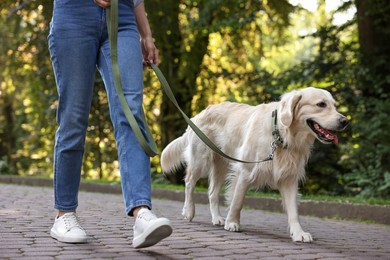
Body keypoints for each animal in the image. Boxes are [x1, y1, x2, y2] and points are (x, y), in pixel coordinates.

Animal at [160, 87, 348, 242]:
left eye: (334, 105)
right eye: (321, 104)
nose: (345, 121)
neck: (281, 134)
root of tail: (198, 115)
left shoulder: (288, 177)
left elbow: (294, 211)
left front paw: (298, 233)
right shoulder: (245, 170)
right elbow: (237, 200)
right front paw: (232, 223)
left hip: (220, 164)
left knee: (212, 192)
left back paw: (217, 218)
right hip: (201, 160)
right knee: (189, 183)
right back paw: (189, 211)